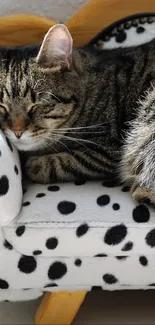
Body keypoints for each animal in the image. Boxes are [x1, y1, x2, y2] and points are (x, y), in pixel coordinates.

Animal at [0, 24, 155, 202]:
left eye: (37, 104)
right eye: (1, 106)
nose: (17, 131)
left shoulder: (109, 149)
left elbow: (60, 164)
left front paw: (33, 164)